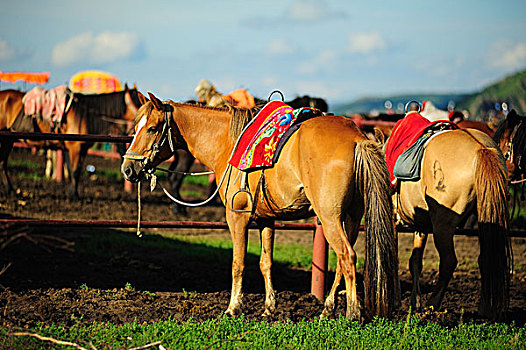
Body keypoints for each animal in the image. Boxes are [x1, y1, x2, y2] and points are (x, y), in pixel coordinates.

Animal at [0, 86, 143, 198]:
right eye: (139, 104)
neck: (86, 115)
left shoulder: (82, 149)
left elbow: (77, 170)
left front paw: (73, 192)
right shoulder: (75, 148)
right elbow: (74, 170)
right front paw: (73, 194)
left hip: (8, 140)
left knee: (2, 163)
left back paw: (10, 190)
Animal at [120, 92, 400, 320]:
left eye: (152, 128)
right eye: (136, 127)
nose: (128, 168)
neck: (228, 143)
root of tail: (356, 138)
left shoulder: (236, 216)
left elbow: (239, 262)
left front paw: (233, 307)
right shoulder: (267, 219)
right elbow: (266, 262)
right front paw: (269, 308)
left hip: (330, 218)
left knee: (347, 256)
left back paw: (352, 312)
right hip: (352, 216)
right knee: (343, 261)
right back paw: (327, 308)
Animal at [386, 113, 512, 322]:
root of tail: (481, 148)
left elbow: (393, 259)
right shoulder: (421, 226)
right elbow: (415, 262)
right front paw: (414, 302)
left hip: (442, 226)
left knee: (448, 261)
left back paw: (433, 304)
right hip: (486, 218)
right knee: (486, 258)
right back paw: (485, 308)